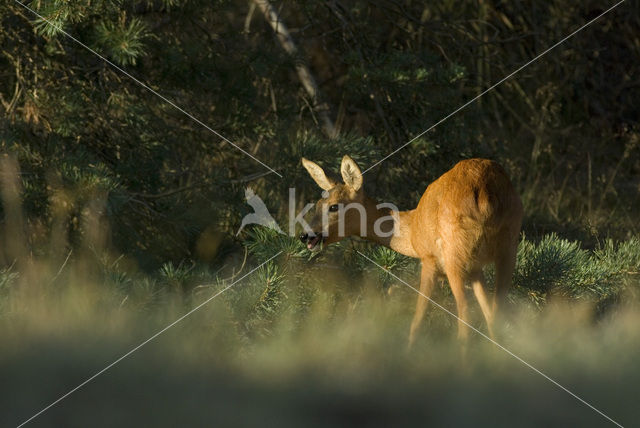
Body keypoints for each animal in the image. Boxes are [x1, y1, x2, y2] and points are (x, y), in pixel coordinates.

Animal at [302, 155, 524, 346]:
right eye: (318, 204)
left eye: (333, 206)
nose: (306, 235)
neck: (411, 230)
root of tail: (484, 194)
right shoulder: (476, 269)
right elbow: (490, 317)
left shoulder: (429, 259)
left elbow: (416, 323)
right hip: (508, 248)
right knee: (496, 315)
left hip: (454, 254)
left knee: (465, 319)